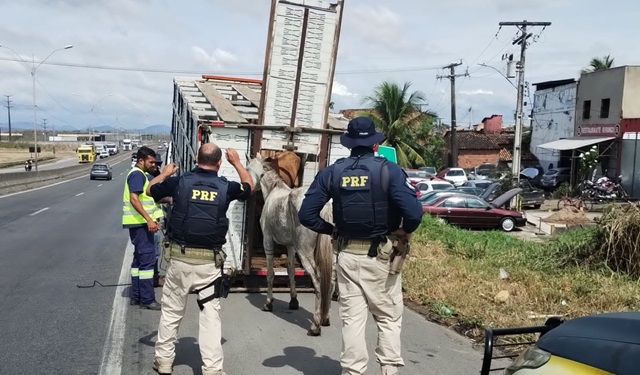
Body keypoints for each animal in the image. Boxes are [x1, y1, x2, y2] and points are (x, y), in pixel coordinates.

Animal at [245, 153, 336, 338]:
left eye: (247, 168)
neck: (274, 191)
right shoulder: (290, 246)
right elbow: (291, 271)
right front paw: (293, 300)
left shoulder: (268, 241)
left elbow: (270, 274)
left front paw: (268, 303)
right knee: (331, 281)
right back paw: (325, 318)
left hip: (305, 252)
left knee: (318, 281)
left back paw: (315, 326)